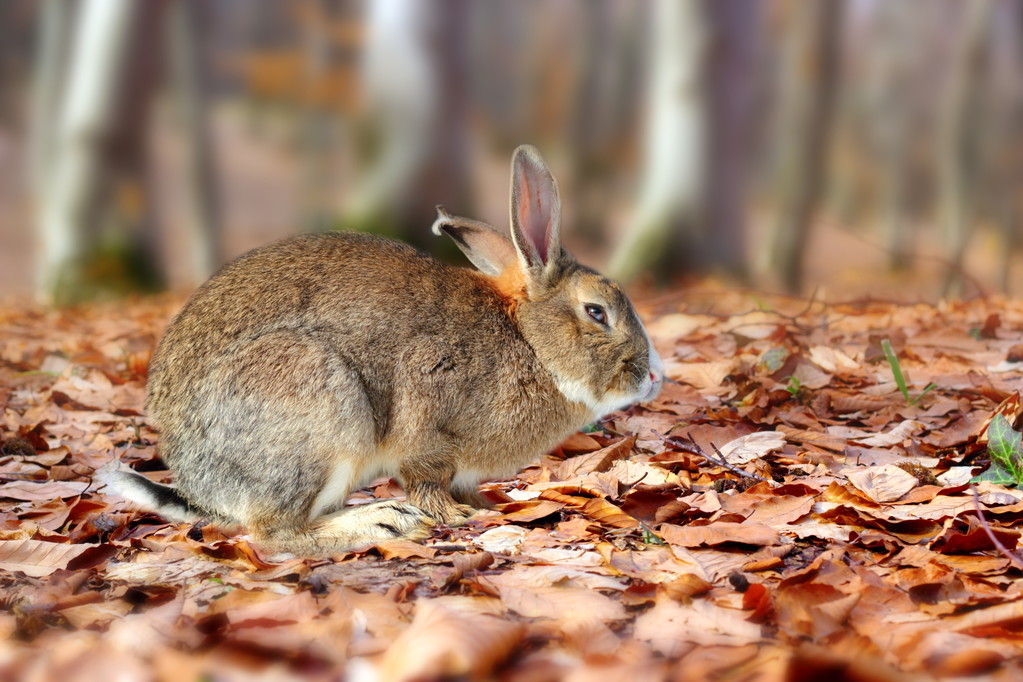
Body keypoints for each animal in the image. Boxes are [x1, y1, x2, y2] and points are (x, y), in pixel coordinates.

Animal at [109, 144, 662, 556]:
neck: (528, 340)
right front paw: (456, 516)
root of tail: (201, 485)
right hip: (317, 404)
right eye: (596, 312)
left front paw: (486, 507)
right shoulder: (426, 415)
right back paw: (382, 522)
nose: (653, 376)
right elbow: (427, 481)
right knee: (272, 532)